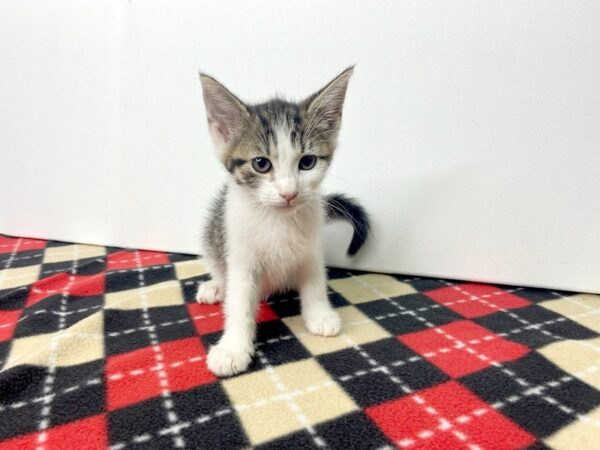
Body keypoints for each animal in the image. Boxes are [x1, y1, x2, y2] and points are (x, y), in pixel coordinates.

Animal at [197, 67, 368, 376]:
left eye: (308, 162)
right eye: (261, 164)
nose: (289, 193)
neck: (278, 219)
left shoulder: (312, 247)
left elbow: (314, 279)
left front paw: (320, 313)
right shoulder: (240, 254)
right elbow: (239, 300)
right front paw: (233, 348)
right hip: (214, 232)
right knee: (217, 264)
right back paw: (215, 286)